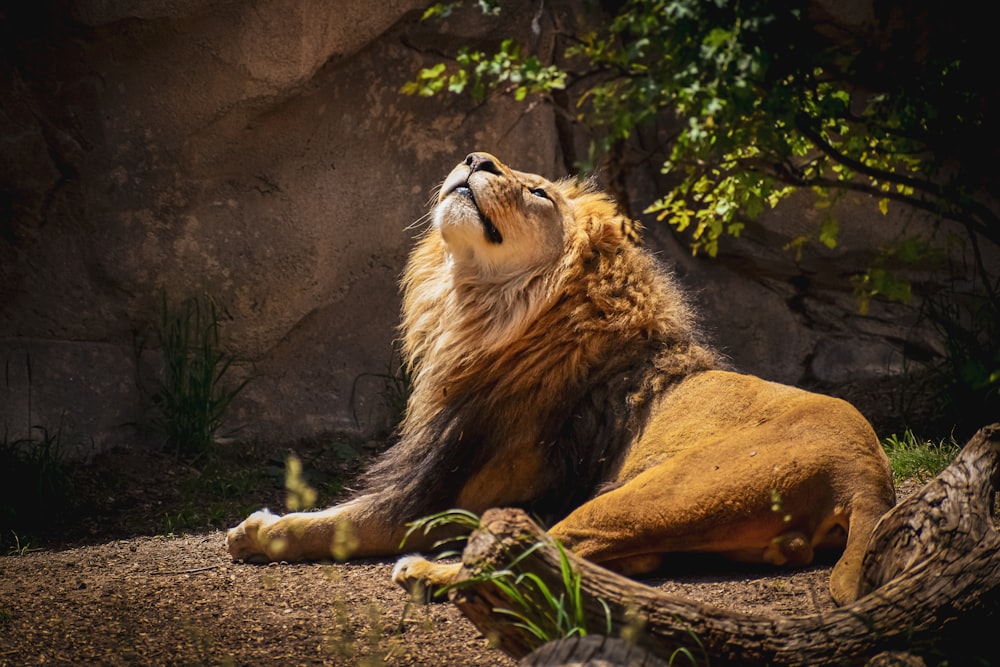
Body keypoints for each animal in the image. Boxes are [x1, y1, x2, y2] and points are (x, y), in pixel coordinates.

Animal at [229, 150, 900, 604]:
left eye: (538, 193)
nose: (474, 156)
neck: (475, 308)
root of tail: (867, 474)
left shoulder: (441, 497)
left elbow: (339, 522)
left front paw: (258, 531)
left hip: (648, 493)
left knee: (544, 551)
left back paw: (424, 571)